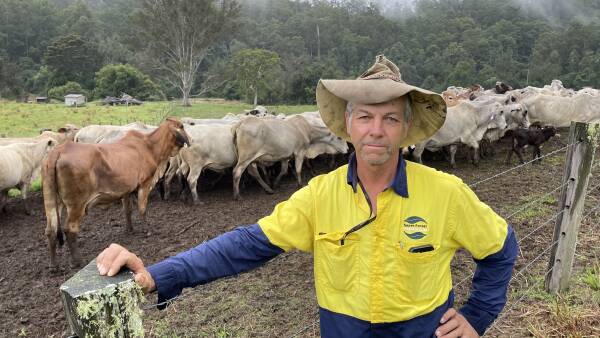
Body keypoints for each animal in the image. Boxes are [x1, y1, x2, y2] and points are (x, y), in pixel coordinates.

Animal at [42, 119, 189, 270]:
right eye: (182, 126)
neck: (149, 146)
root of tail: (58, 151)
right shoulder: (144, 184)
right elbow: (142, 209)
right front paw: (148, 230)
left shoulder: (127, 190)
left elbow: (127, 210)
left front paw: (129, 230)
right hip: (77, 205)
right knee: (70, 229)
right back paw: (77, 261)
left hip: (51, 201)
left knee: (50, 230)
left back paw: (53, 266)